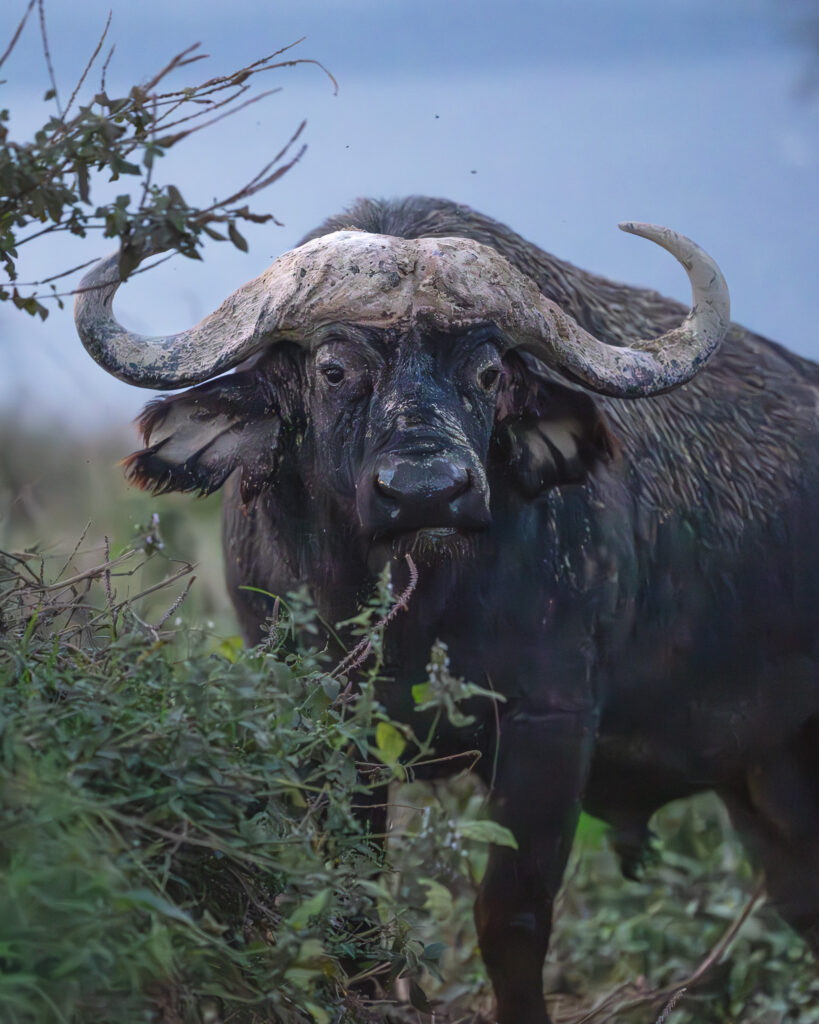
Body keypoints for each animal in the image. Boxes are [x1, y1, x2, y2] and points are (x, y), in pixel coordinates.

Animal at [75, 196, 819, 1024]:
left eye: (487, 372)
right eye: (333, 369)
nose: (427, 492)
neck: (413, 612)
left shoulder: (550, 725)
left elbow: (511, 918)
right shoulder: (327, 721)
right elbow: (353, 903)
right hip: (763, 782)